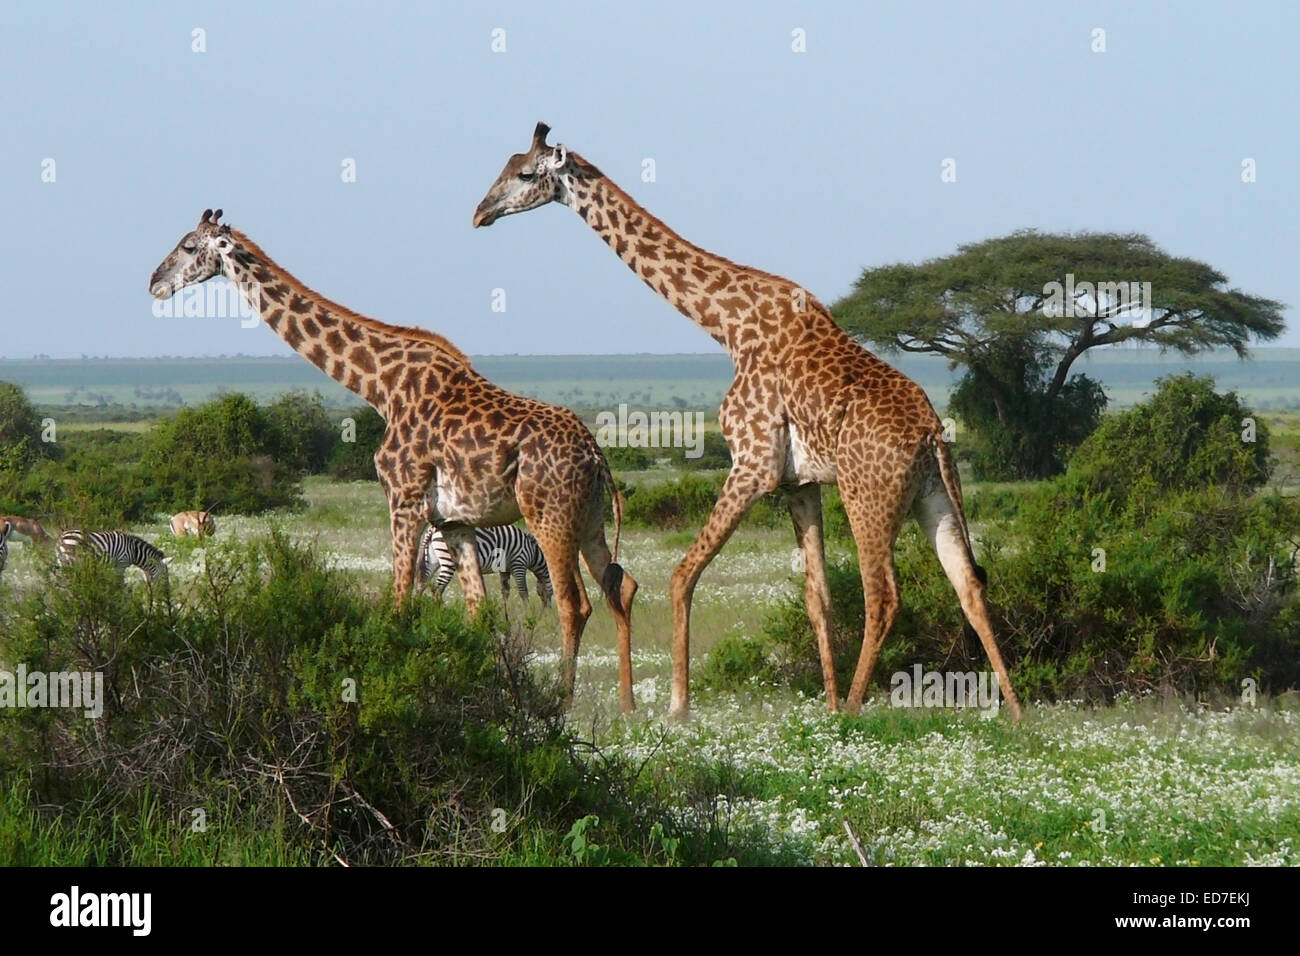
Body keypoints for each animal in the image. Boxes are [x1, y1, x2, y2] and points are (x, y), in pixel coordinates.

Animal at [418, 522, 551, 606]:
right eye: (550, 593)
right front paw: (528, 612)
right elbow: (523, 592)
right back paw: (441, 611)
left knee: (422, 584)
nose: (546, 615)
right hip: (448, 560)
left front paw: (505, 614)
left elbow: (505, 592)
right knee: (437, 589)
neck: (533, 552)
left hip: (433, 560)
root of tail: (432, 529)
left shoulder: (505, 568)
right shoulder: (519, 563)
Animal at [473, 123, 1019, 723]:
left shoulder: (752, 463)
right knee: (969, 584)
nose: (480, 213)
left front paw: (678, 706)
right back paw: (1016, 714)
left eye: (526, 173)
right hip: (933, 495)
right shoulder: (799, 483)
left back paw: (856, 708)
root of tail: (931, 434)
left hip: (869, 495)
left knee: (884, 595)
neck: (727, 325)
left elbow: (683, 574)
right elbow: (818, 598)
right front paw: (825, 704)